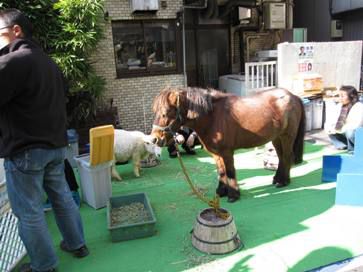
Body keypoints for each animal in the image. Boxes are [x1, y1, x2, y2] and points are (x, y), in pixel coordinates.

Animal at [151, 87, 308, 202]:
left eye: (165, 113)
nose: (154, 139)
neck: (213, 117)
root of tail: (294, 96)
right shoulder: (216, 153)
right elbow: (221, 172)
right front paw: (221, 192)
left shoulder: (227, 152)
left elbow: (230, 172)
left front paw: (233, 195)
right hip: (276, 137)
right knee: (281, 157)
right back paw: (278, 179)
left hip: (287, 136)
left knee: (287, 156)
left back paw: (283, 181)